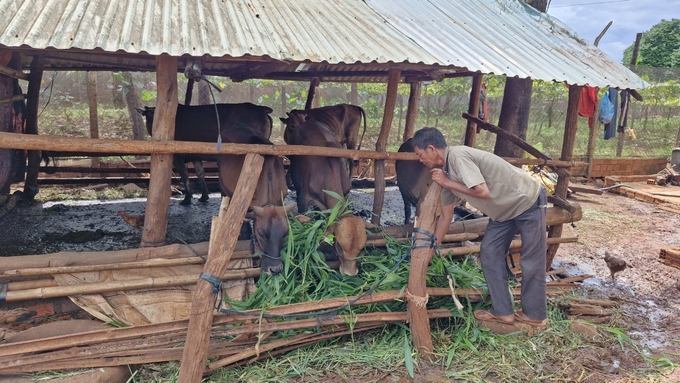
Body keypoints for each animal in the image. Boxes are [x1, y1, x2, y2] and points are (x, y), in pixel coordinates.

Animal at [137, 102, 272, 204]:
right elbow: (200, 173)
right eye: (148, 115)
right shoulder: (196, 156)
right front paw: (203, 196)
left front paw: (187, 198)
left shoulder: (177, 156)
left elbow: (185, 175)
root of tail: (263, 109)